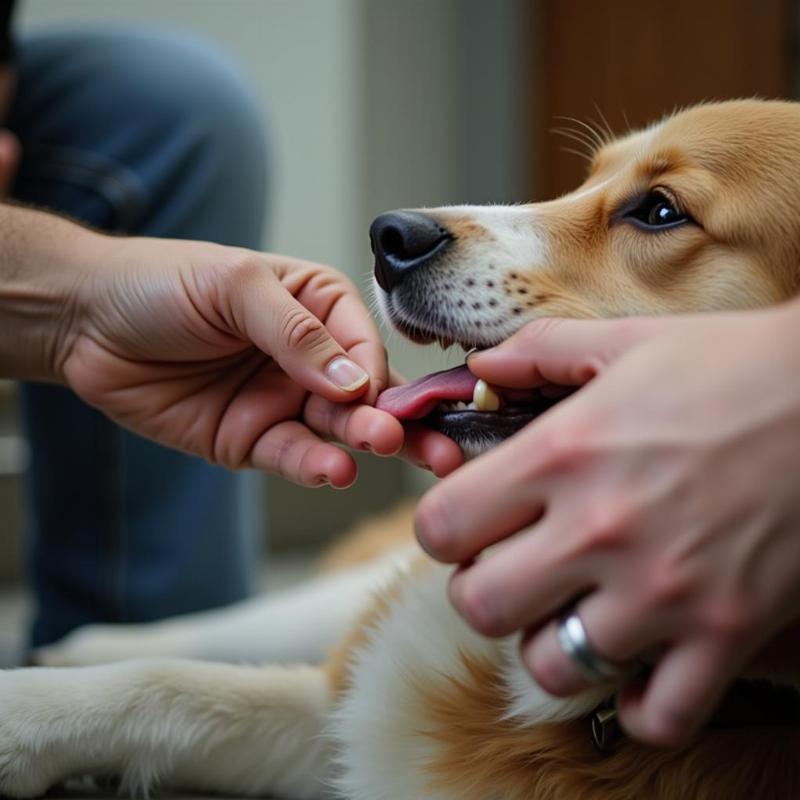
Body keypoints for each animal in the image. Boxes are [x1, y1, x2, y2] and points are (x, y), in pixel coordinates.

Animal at [4, 97, 800, 796]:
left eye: (660, 211)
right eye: (586, 180)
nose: (390, 236)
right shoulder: (333, 709)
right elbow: (169, 687)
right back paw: (81, 641)